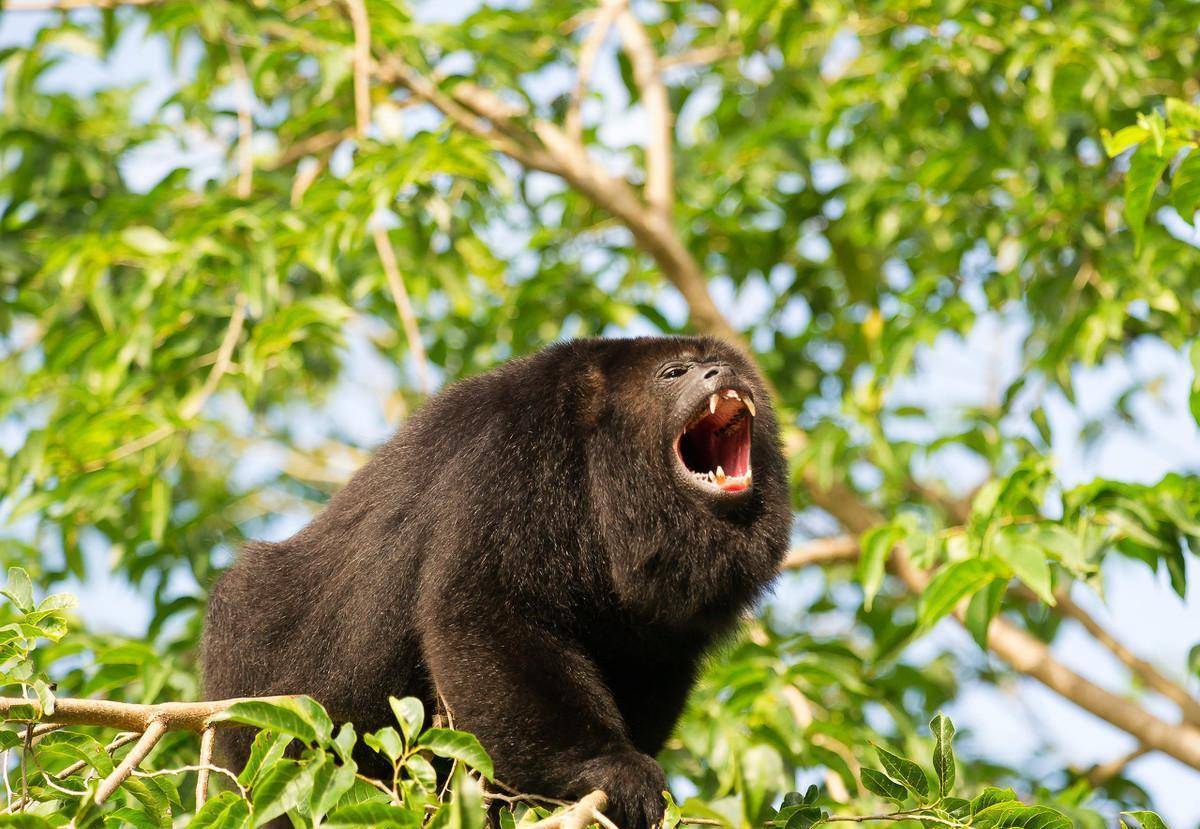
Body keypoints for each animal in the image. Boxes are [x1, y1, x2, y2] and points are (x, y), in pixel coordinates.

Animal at [201, 338, 792, 829]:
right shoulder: (512, 459)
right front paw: (609, 767)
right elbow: (483, 611)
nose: (722, 372)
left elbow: (652, 658)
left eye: (725, 365)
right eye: (673, 372)